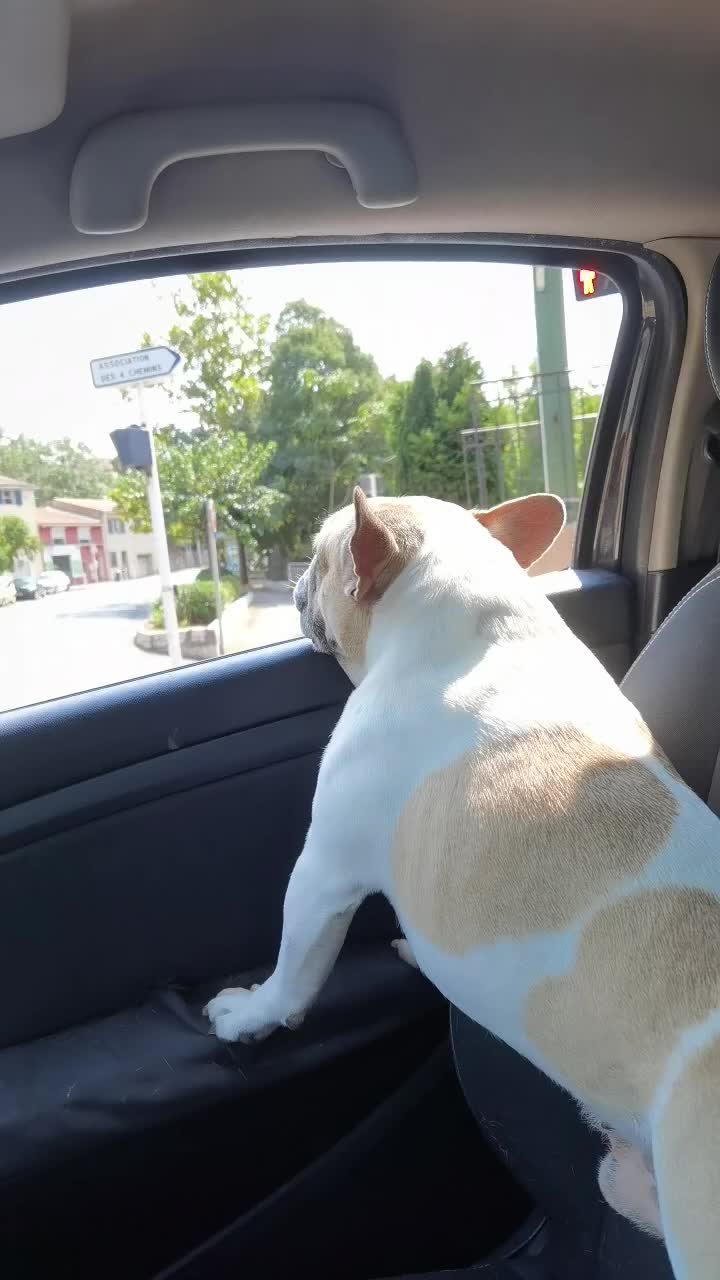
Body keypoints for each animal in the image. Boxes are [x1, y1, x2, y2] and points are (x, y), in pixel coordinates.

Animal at [206, 489, 720, 1279]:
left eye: (320, 557)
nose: (295, 581)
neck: (475, 619)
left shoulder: (324, 868)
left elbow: (296, 972)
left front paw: (252, 1014)